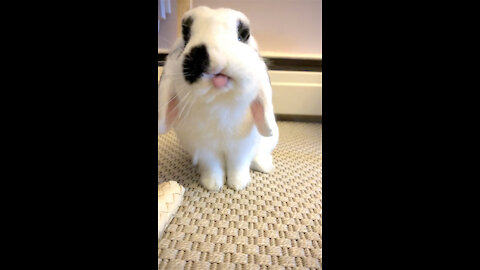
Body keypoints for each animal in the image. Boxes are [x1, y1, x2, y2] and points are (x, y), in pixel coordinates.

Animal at [158, 4, 278, 190]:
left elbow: (238, 165)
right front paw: (213, 185)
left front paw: (238, 185)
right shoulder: (204, 150)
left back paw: (265, 166)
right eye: (186, 34)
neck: (218, 101)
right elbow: (212, 166)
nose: (217, 58)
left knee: (258, 155)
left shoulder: (241, 147)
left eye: (243, 35)